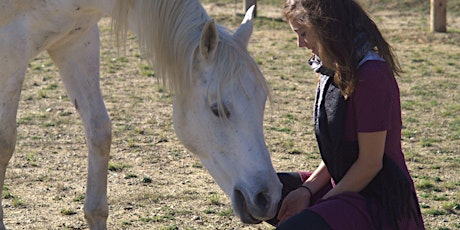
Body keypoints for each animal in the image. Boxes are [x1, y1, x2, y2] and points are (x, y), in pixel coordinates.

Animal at [0, 0, 282, 228]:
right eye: (217, 109)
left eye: (262, 102)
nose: (268, 197)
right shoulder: (12, 50)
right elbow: (6, 143)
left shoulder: (77, 41)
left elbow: (99, 132)